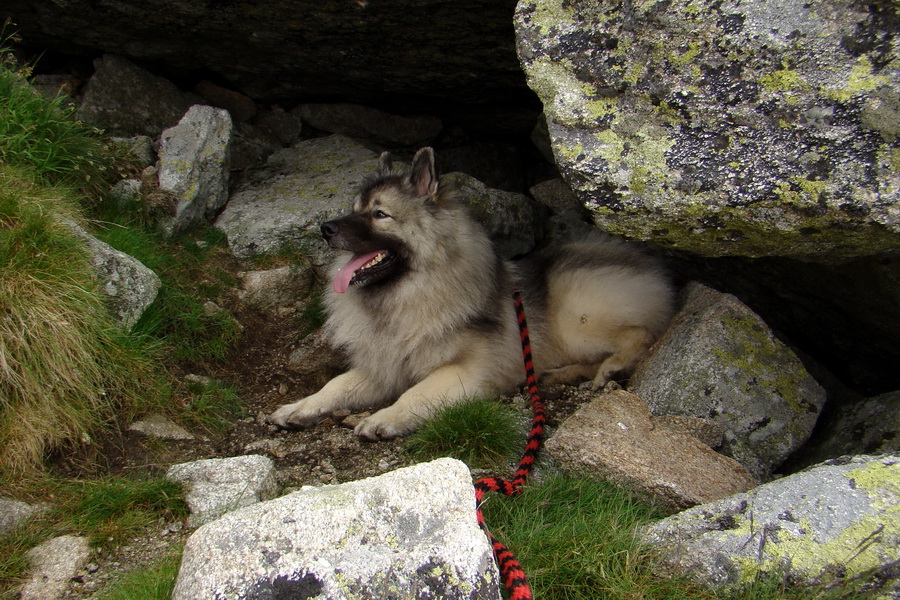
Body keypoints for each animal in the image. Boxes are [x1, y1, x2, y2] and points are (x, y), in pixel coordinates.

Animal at [268, 149, 676, 440]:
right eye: (355, 210)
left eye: (379, 214)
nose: (325, 228)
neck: (407, 296)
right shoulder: (383, 369)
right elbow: (336, 385)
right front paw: (299, 407)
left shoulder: (465, 371)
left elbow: (416, 393)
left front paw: (385, 417)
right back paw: (562, 374)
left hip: (577, 321)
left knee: (642, 334)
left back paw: (614, 365)